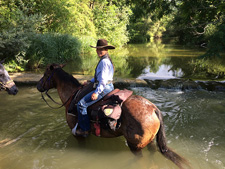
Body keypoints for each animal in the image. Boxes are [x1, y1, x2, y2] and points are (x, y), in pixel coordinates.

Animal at [37, 63, 190, 169]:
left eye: (45, 74)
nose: (38, 86)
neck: (71, 96)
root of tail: (153, 108)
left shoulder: (78, 135)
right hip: (150, 141)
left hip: (135, 146)